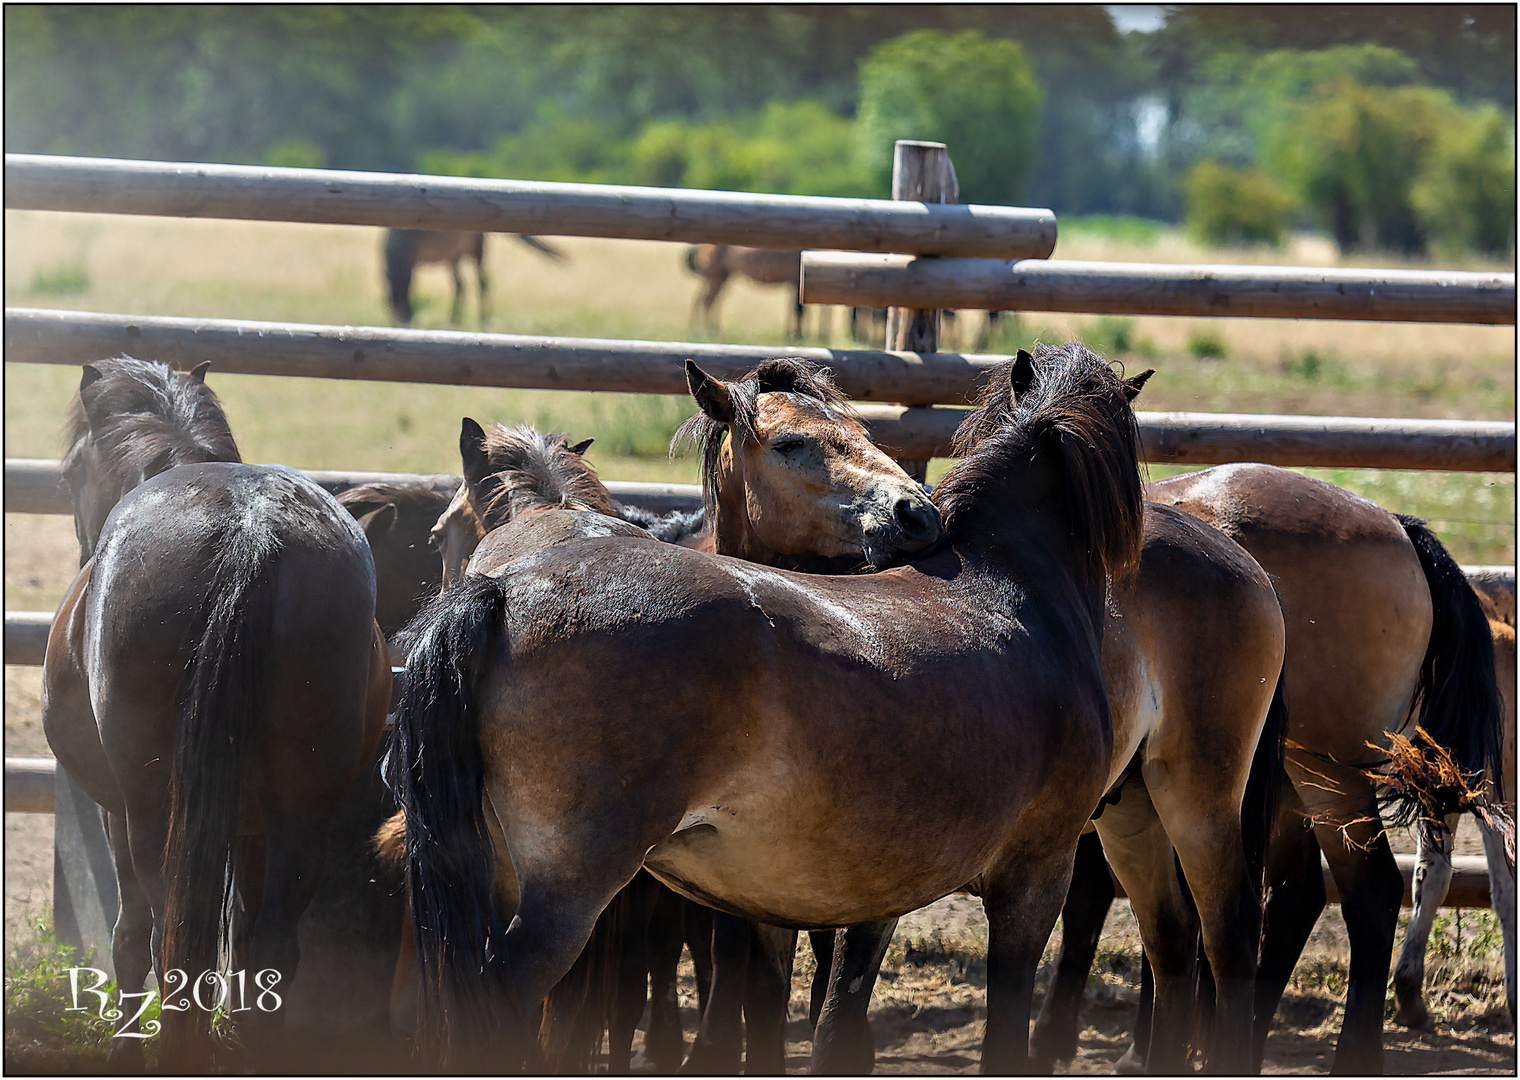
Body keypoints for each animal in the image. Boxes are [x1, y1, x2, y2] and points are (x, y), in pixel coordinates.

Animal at [42, 356, 392, 1075]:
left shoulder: (118, 812)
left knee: (171, 937)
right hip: (301, 811)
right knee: (271, 943)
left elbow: (130, 934)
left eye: (69, 475)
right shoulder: (253, 826)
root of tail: (251, 533)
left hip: (153, 808)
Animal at [383, 229, 568, 328]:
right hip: (454, 255)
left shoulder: (411, 265)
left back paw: (483, 320)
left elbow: (412, 285)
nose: (406, 320)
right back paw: (454, 320)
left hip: (476, 249)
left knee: (482, 282)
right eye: (391, 300)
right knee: (460, 285)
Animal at [392, 341, 1143, 1069]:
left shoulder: (874, 888)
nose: (915, 513)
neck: (1008, 580)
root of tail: (503, 591)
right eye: (789, 444)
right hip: (567, 899)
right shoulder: (1035, 874)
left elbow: (828, 1016)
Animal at [684, 244, 814, 337]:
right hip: (715, 276)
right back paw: (705, 330)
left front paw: (792, 334)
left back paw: (708, 329)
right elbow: (798, 310)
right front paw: (797, 335)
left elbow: (795, 308)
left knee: (706, 300)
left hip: (721, 276)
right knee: (707, 300)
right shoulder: (796, 282)